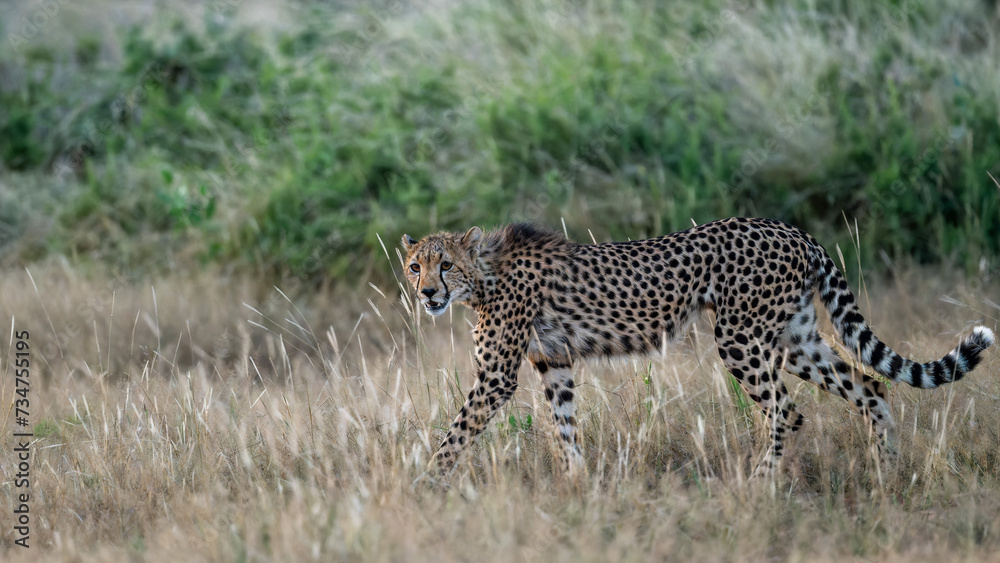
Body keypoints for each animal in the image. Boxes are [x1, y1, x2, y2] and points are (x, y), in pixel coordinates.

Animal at [401, 217, 995, 478]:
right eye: (414, 266)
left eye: (444, 265)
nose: (428, 293)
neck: (483, 274)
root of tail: (791, 229)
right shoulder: (556, 362)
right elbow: (564, 428)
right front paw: (578, 484)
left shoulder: (497, 375)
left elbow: (455, 432)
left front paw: (426, 483)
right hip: (796, 339)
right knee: (870, 387)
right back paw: (886, 473)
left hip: (739, 339)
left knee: (787, 412)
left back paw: (761, 486)